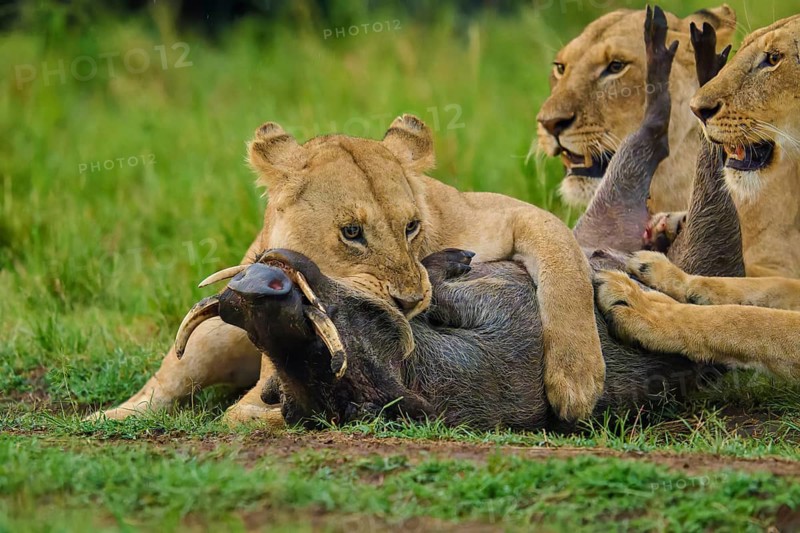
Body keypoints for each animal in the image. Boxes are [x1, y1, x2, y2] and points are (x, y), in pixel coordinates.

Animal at [93, 115, 605, 423]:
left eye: (412, 226)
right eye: (352, 232)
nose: (410, 299)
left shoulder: (507, 214)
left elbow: (566, 265)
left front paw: (577, 383)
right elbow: (246, 410)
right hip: (214, 335)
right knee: (166, 381)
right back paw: (108, 418)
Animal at [596, 15, 800, 379]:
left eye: (774, 59)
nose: (697, 109)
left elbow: (747, 320)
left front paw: (644, 307)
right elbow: (762, 287)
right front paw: (666, 274)